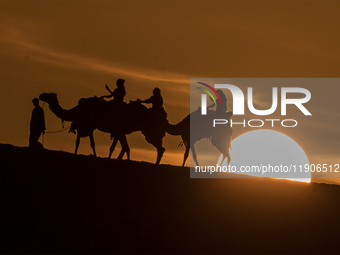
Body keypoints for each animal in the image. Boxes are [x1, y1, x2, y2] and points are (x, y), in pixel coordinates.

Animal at [39, 93, 167, 163]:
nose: (41, 95)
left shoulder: (88, 125)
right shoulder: (88, 128)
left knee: (159, 147)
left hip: (147, 132)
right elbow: (87, 143)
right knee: (128, 147)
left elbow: (86, 143)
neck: (76, 111)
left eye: (49, 95)